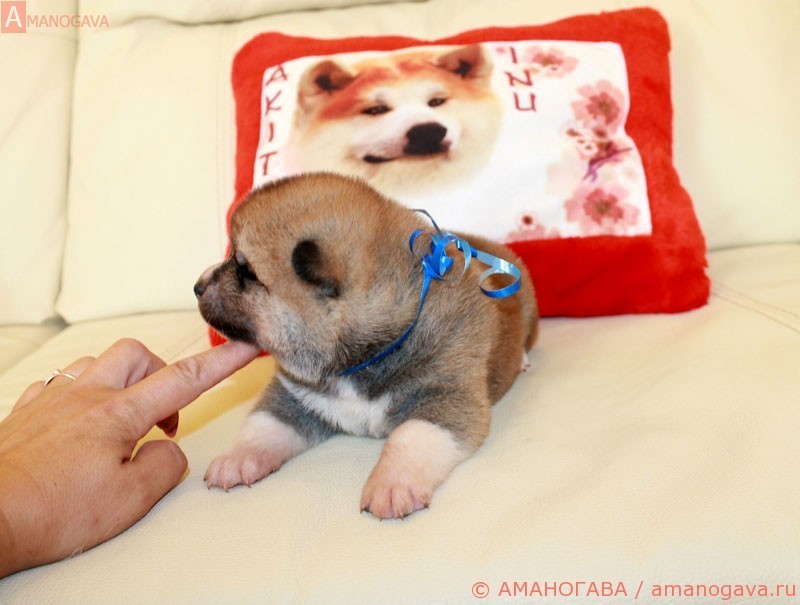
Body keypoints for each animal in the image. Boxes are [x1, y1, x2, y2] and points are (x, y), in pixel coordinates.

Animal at [195, 173, 538, 519]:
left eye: (246, 271)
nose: (197, 286)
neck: (355, 361)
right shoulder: (294, 397)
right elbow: (263, 424)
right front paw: (237, 459)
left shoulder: (445, 396)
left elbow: (411, 436)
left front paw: (392, 483)